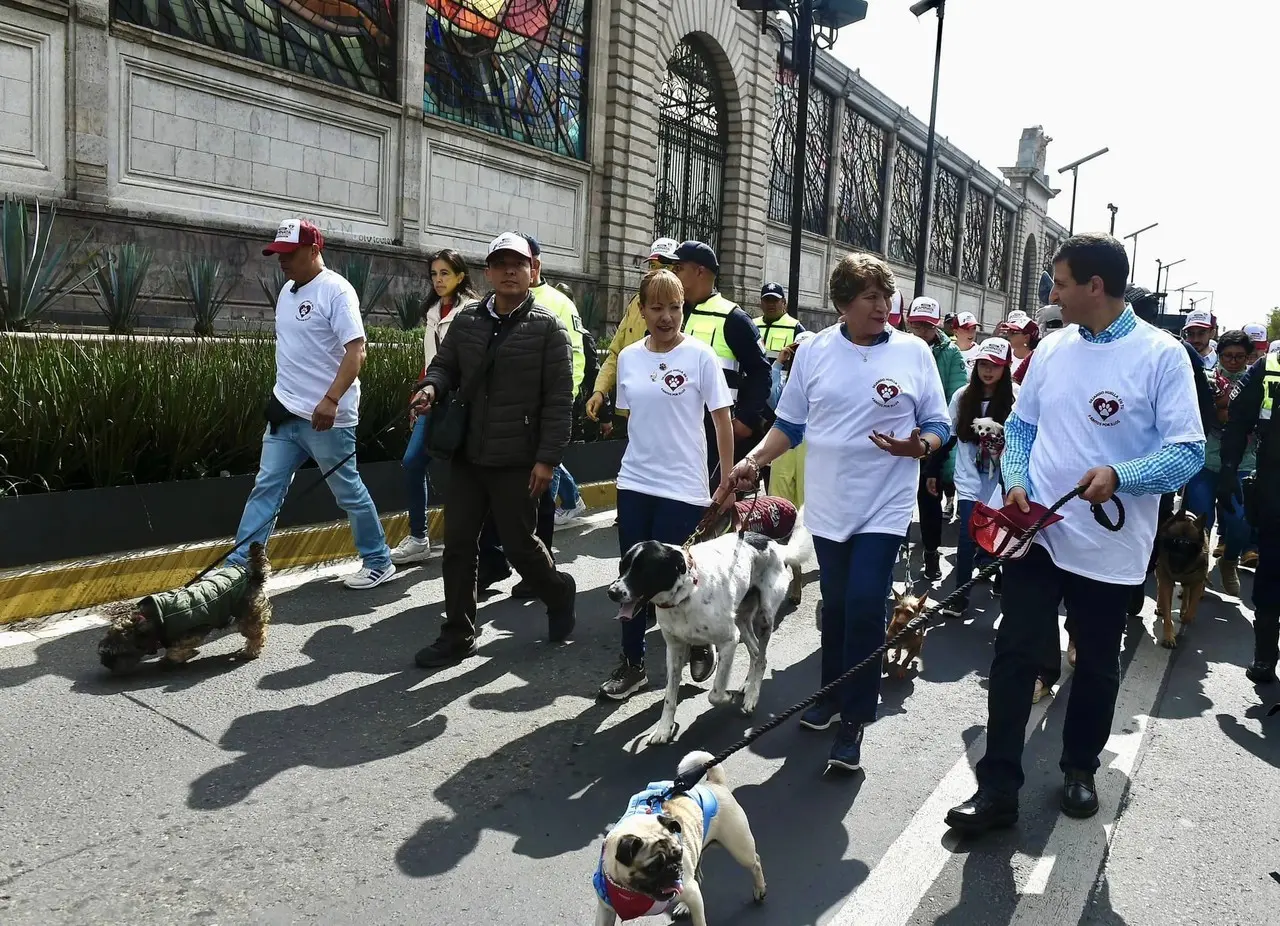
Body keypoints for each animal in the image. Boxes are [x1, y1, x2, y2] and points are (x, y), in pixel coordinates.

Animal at [98, 543, 271, 676]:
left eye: (118, 652)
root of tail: (253, 576)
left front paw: (180, 657)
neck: (152, 618)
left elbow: (176, 650)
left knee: (256, 634)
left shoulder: (193, 632)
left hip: (248, 614)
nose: (105, 664)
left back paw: (250, 652)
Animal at [593, 747, 762, 922]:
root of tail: (714, 783)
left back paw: (759, 890)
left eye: (679, 854)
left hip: (740, 849)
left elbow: (699, 920)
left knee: (755, 862)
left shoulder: (692, 894)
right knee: (697, 874)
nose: (674, 868)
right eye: (653, 867)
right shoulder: (605, 910)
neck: (633, 894)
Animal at [606, 514, 808, 747]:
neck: (685, 595)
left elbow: (716, 692)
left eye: (644, 570)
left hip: (764, 617)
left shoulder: (729, 640)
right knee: (756, 652)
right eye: (622, 567)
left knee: (762, 658)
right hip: (741, 619)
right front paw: (664, 729)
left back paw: (752, 697)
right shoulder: (674, 649)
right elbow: (669, 696)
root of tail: (774, 543)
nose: (611, 592)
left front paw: (727, 697)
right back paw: (748, 684)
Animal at [1157, 504, 1203, 648]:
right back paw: (1160, 607)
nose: (1178, 557)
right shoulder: (1166, 580)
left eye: (1189, 547)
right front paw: (1169, 636)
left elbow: (1192, 607)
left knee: (1187, 591)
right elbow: (1167, 611)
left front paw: (1187, 616)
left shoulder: (1197, 582)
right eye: (1173, 543)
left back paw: (1183, 609)